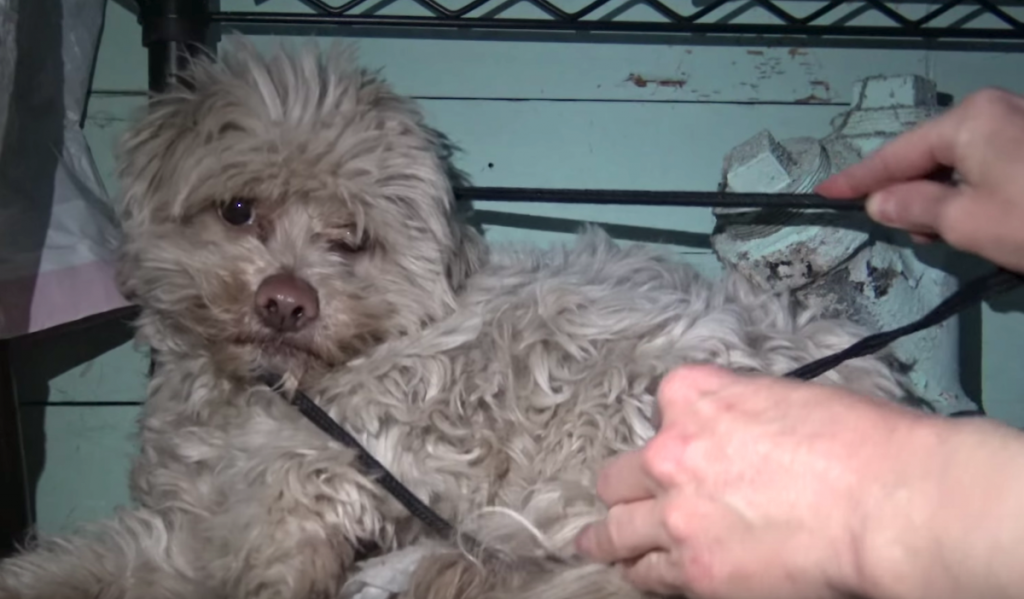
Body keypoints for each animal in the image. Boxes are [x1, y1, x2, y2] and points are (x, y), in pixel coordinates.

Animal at [0, 36, 913, 597]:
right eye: (237, 209)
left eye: (352, 239)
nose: (286, 300)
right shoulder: (191, 517)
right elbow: (116, 553)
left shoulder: (340, 468)